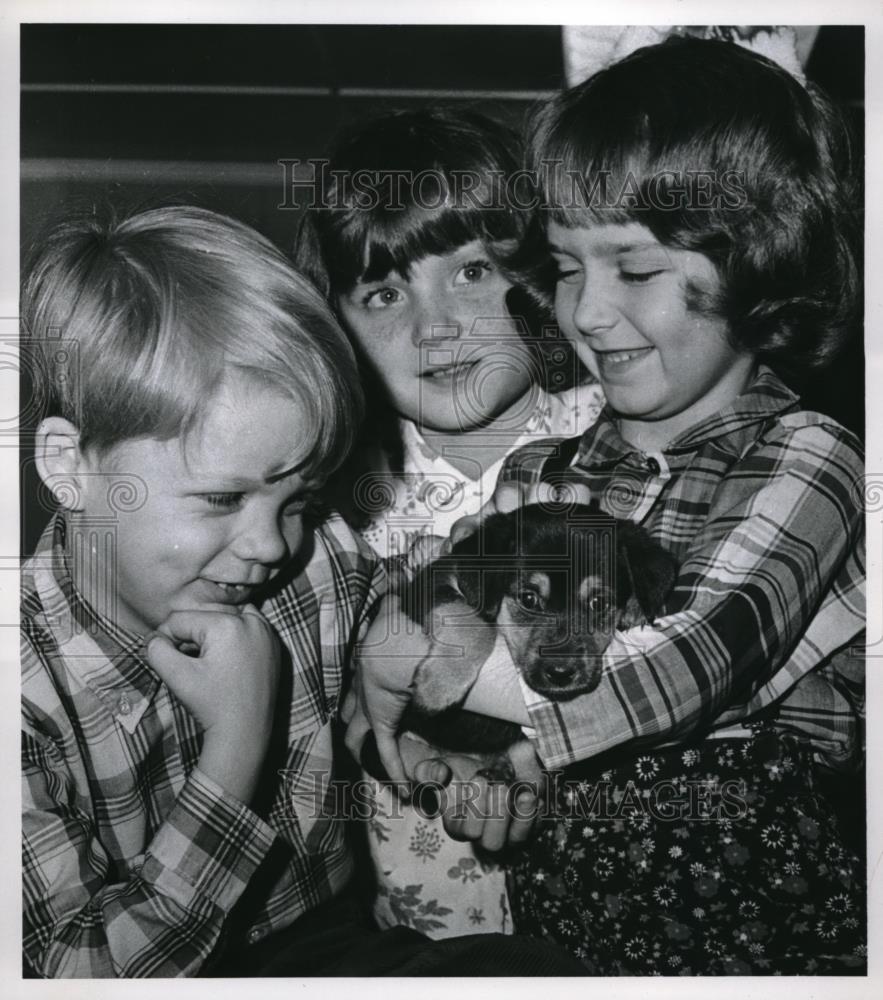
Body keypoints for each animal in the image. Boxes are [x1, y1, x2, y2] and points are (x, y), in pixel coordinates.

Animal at [360, 508, 676, 780]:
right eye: (528, 598)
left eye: (599, 603)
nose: (561, 674)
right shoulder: (428, 585)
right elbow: (472, 621)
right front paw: (439, 686)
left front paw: (637, 607)